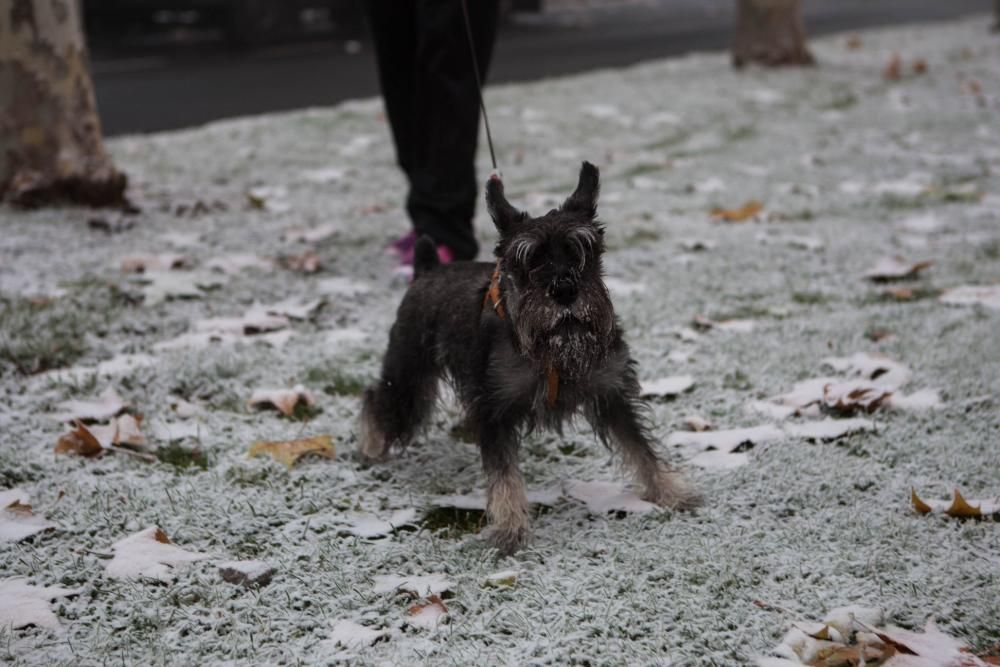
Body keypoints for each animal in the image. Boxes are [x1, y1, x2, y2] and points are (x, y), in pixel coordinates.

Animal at [364, 162, 700, 552]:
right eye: (527, 260)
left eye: (583, 250)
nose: (564, 290)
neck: (554, 350)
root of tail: (427, 270)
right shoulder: (493, 409)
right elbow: (504, 474)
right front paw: (510, 528)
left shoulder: (612, 393)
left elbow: (641, 448)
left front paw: (672, 492)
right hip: (407, 374)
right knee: (378, 401)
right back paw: (370, 446)